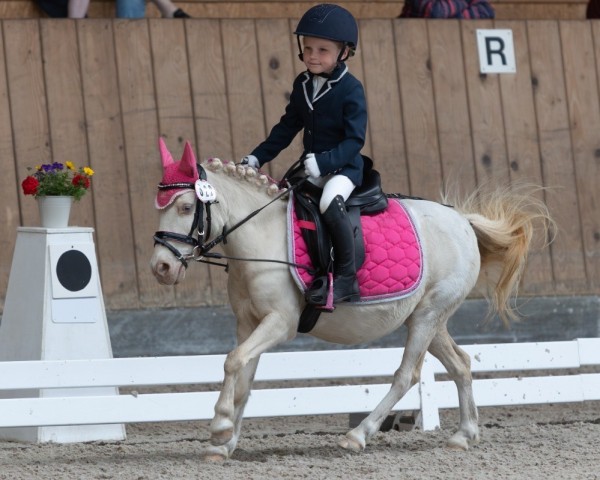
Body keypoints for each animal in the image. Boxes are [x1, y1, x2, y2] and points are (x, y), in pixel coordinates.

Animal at [150, 140, 552, 462]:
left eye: (185, 207)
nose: (161, 267)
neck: (260, 234)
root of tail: (462, 221)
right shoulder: (248, 322)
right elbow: (243, 375)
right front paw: (223, 444)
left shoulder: (280, 322)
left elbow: (234, 361)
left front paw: (219, 427)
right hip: (428, 318)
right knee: (461, 364)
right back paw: (463, 436)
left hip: (429, 314)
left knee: (407, 375)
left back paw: (357, 436)